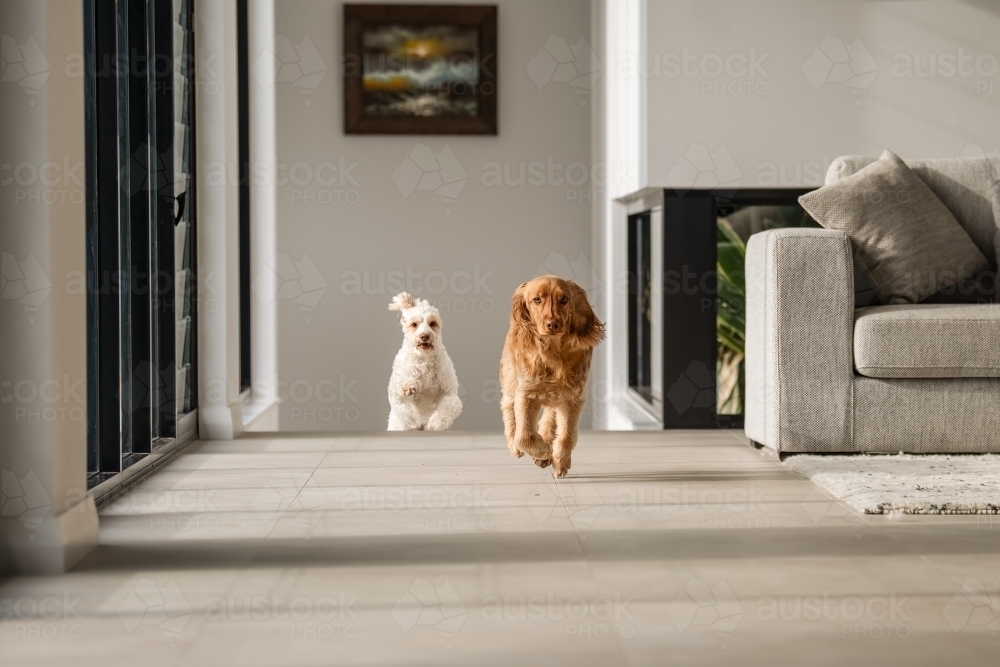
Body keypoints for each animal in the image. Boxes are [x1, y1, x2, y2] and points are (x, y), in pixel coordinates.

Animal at [384, 294, 462, 430]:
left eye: (432, 323)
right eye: (414, 324)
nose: (425, 336)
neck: (425, 359)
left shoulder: (449, 391)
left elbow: (453, 404)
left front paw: (436, 422)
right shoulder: (397, 391)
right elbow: (399, 387)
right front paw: (408, 386)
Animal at [498, 274, 600, 478]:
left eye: (564, 299)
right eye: (537, 300)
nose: (552, 324)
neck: (553, 352)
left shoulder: (574, 397)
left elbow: (567, 435)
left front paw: (559, 461)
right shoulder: (527, 393)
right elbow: (524, 436)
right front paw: (544, 451)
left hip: (556, 396)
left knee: (550, 415)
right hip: (512, 377)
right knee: (507, 404)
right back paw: (516, 445)